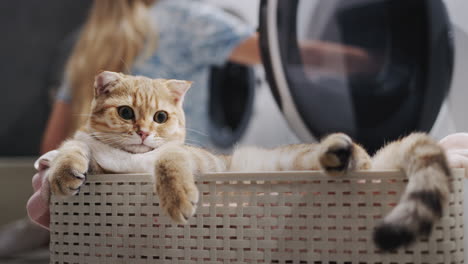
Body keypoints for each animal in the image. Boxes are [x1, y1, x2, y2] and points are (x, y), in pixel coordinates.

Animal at [46, 70, 450, 252]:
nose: (144, 132)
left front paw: (176, 198)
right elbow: (75, 148)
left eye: (160, 117)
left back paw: (342, 152)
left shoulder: (193, 158)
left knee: (361, 163)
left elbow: (169, 160)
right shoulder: (99, 159)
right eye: (126, 112)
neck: (130, 159)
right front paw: (62, 172)